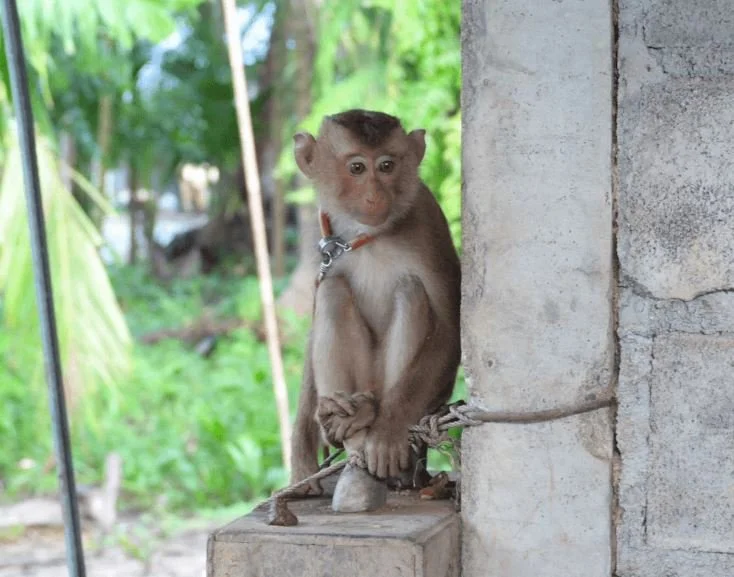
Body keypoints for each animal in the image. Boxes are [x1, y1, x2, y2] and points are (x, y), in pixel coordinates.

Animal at [289, 109, 461, 495]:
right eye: (356, 168)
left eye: (386, 166)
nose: (374, 195)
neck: (367, 235)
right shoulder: (326, 242)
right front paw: (301, 454)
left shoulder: (428, 224)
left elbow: (449, 330)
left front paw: (387, 430)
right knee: (333, 290)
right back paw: (342, 424)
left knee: (411, 291)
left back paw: (378, 431)